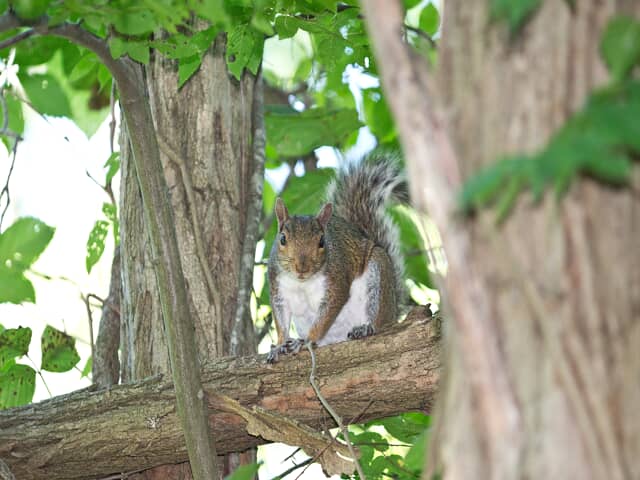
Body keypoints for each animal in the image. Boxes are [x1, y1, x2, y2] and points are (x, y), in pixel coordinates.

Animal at [266, 155, 408, 364]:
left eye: (322, 241)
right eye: (282, 239)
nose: (302, 267)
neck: (302, 282)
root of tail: (393, 311)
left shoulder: (337, 281)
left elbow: (325, 317)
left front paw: (306, 341)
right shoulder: (278, 288)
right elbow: (281, 320)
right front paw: (280, 344)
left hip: (378, 275)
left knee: (378, 318)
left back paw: (366, 328)